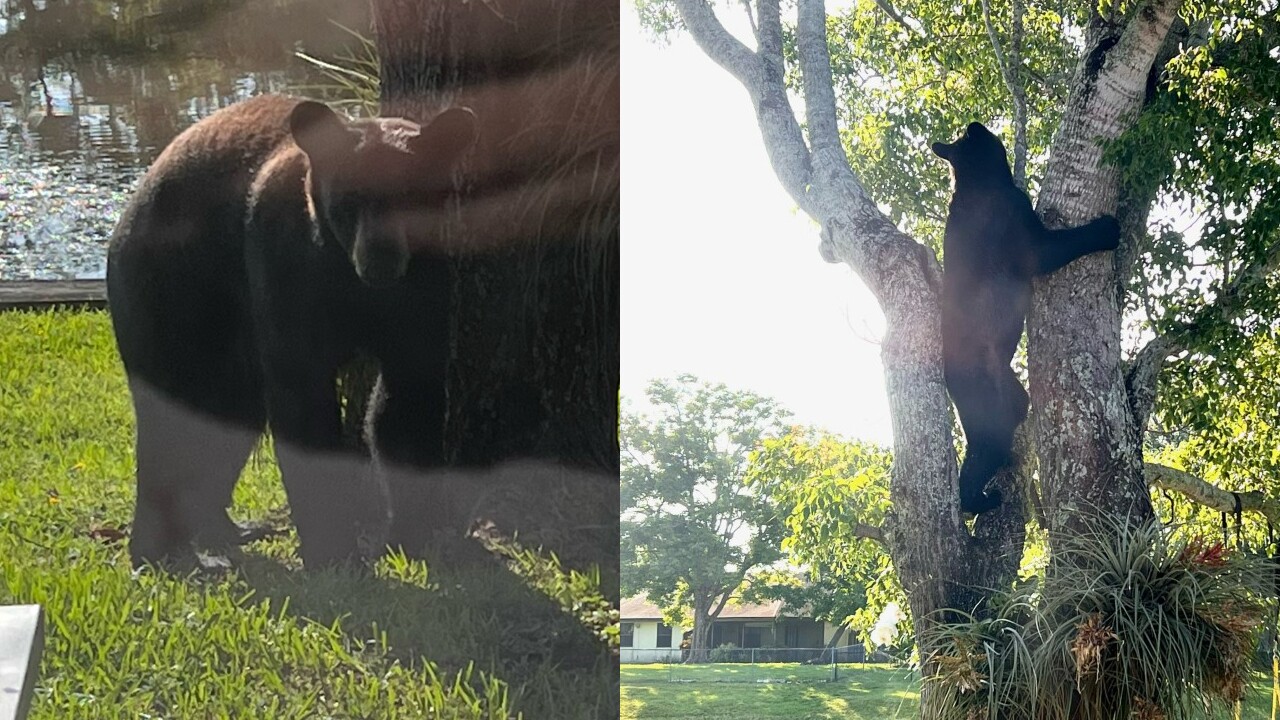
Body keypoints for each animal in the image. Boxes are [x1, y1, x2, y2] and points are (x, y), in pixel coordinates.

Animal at [107, 94, 477, 568]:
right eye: (349, 197)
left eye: (411, 194)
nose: (380, 258)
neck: (353, 280)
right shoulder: (291, 269)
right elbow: (303, 398)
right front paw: (331, 551)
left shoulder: (426, 288)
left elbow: (406, 402)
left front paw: (412, 535)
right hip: (173, 293)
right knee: (168, 418)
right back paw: (157, 549)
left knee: (228, 419)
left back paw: (224, 529)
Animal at [931, 121, 1120, 515]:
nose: (975, 124)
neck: (977, 183)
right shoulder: (1034, 240)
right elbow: (1068, 241)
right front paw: (1107, 229)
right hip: (993, 412)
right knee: (978, 463)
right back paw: (982, 501)